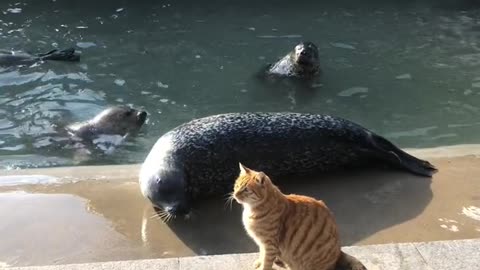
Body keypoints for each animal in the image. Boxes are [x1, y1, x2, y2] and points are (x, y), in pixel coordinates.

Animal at [234, 162, 366, 270]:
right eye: (236, 186)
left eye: (246, 190)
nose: (235, 195)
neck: (251, 210)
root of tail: (338, 251)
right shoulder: (262, 243)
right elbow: (262, 255)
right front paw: (259, 262)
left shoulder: (269, 244)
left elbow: (266, 261)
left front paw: (262, 266)